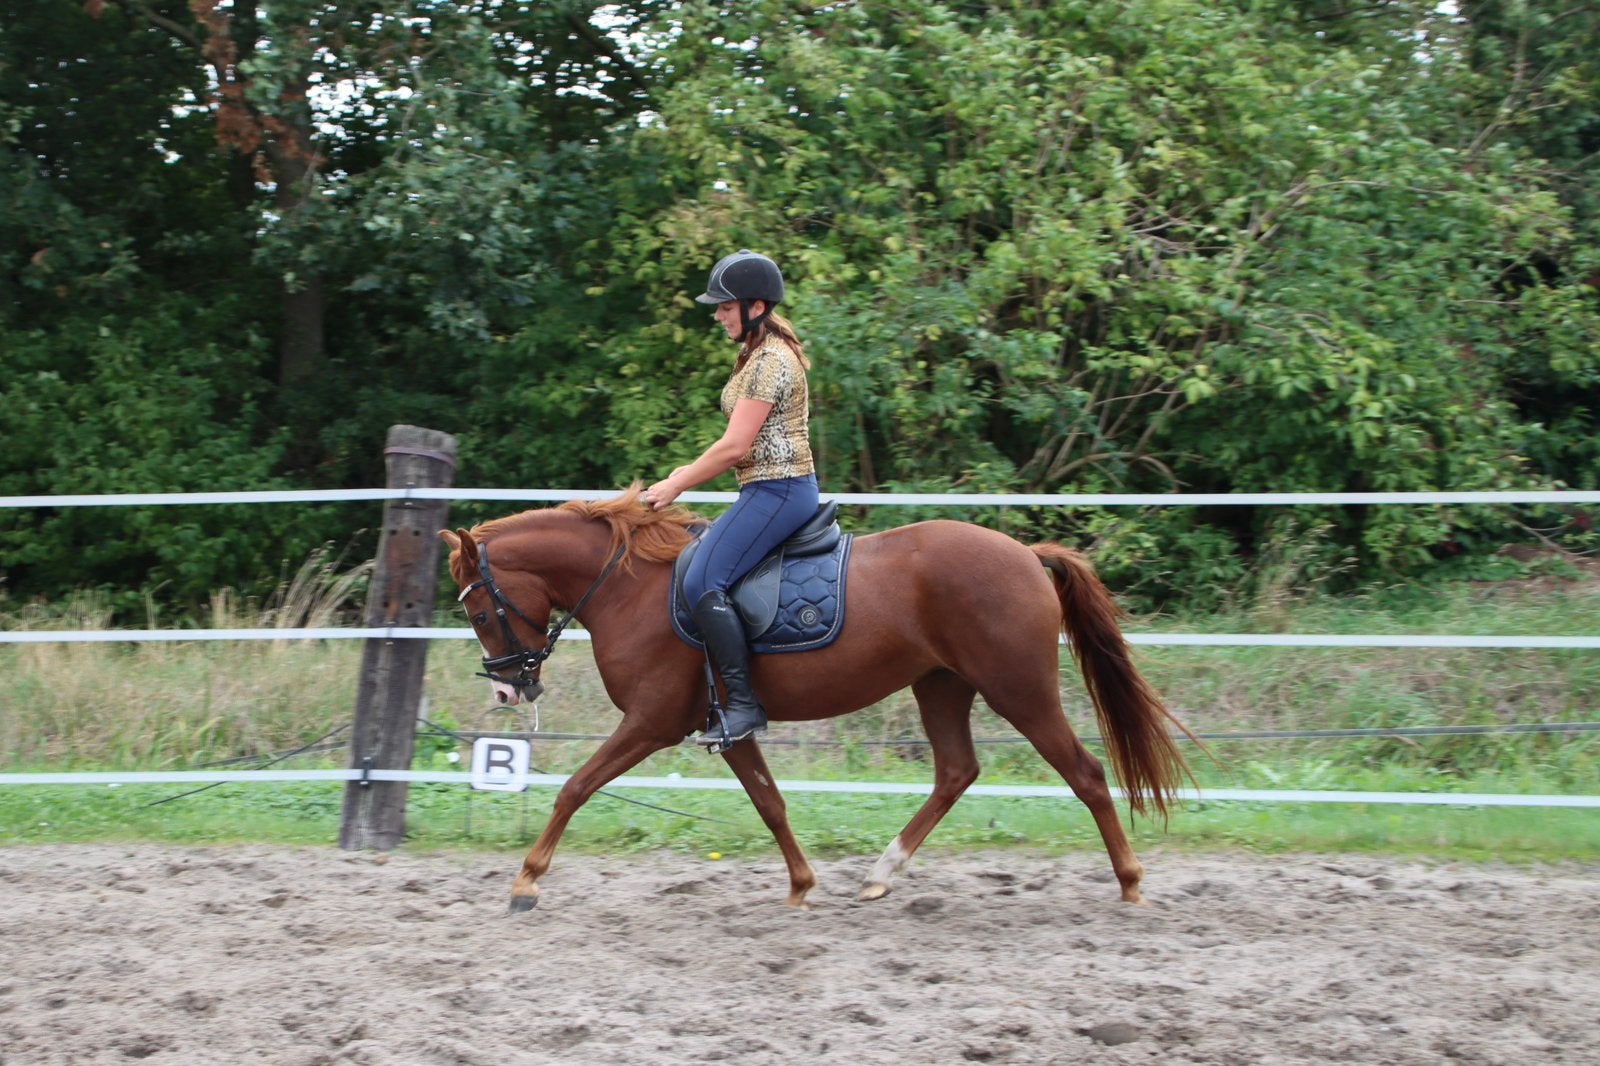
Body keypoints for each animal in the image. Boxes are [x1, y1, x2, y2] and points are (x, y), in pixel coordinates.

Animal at [439, 485, 1197, 912]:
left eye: (476, 611)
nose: (508, 685)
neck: (631, 586)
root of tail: (1024, 554)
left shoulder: (651, 722)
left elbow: (575, 787)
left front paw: (526, 881)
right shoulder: (729, 726)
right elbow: (771, 804)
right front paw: (803, 886)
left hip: (1019, 689)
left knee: (1086, 774)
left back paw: (1130, 881)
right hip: (941, 685)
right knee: (957, 771)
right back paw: (883, 873)